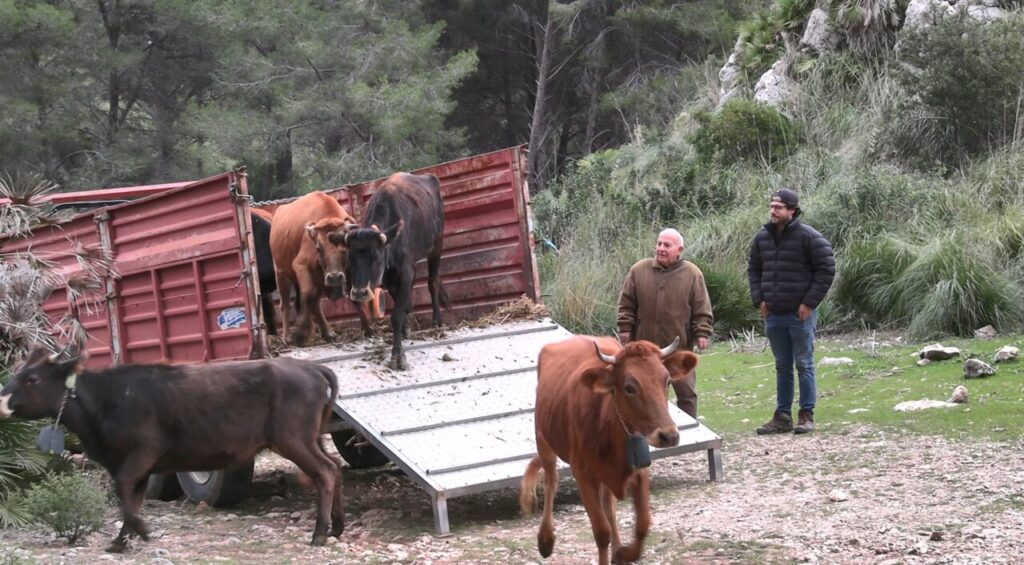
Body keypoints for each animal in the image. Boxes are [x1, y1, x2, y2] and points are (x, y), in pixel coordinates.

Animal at [0, 348, 345, 553]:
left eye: (32, 378)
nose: (3, 399)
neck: (106, 400)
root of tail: (311, 368)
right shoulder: (132, 465)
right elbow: (131, 498)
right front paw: (121, 541)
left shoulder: (143, 452)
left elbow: (123, 491)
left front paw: (140, 531)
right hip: (309, 438)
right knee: (334, 466)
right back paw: (337, 527)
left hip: (293, 440)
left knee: (326, 471)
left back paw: (320, 533)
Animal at [270, 191, 378, 346]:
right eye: (318, 248)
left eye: (344, 248)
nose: (334, 277)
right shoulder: (300, 265)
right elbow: (307, 295)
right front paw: (300, 333)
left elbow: (355, 297)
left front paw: (368, 329)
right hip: (281, 275)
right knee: (286, 304)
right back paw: (287, 337)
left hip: (319, 278)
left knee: (315, 304)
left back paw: (328, 333)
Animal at [338, 172, 448, 370]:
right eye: (349, 260)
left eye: (376, 258)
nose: (358, 293)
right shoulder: (390, 279)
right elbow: (399, 303)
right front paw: (405, 326)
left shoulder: (404, 273)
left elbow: (396, 316)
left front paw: (398, 356)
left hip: (437, 243)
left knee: (433, 281)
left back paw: (437, 320)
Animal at [520, 335, 698, 565]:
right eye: (629, 387)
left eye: (667, 380)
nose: (669, 435)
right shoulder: (583, 474)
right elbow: (601, 531)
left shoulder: (640, 470)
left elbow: (642, 524)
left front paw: (623, 553)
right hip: (543, 440)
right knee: (551, 481)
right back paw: (545, 538)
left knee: (609, 508)